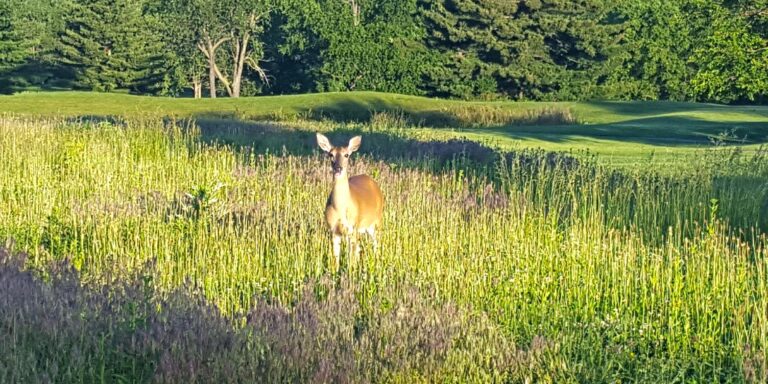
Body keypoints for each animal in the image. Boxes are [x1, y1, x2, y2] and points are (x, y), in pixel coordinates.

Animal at [314, 134, 382, 266]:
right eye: (331, 154)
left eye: (346, 155)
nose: (338, 168)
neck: (340, 209)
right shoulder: (334, 231)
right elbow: (335, 260)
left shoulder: (353, 228)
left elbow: (352, 261)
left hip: (376, 222)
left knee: (376, 244)